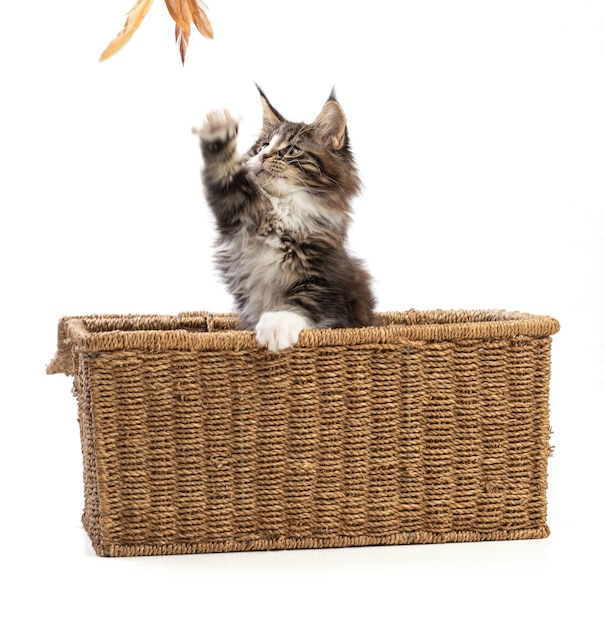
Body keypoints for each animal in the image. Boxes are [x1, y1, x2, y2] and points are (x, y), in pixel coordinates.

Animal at [195, 86, 372, 352]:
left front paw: (276, 326)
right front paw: (218, 130)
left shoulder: (328, 275)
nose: (263, 156)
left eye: (292, 150)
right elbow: (226, 176)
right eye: (262, 146)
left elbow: (303, 298)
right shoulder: (238, 211)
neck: (284, 207)